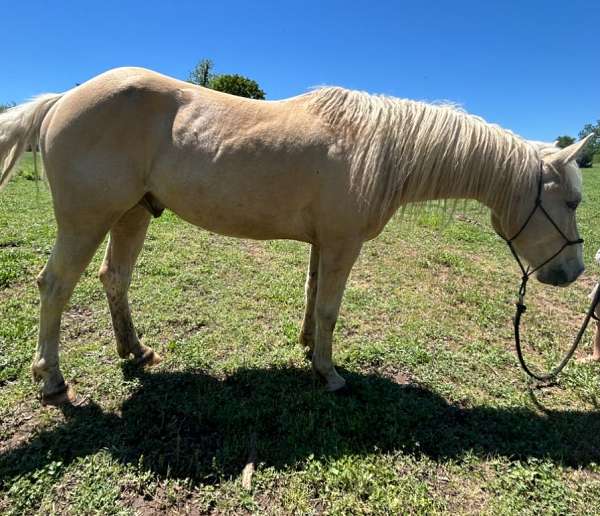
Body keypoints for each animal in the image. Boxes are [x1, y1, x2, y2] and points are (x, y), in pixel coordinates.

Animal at [0, 66, 592, 404]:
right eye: (572, 201)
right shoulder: (343, 245)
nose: (573, 273)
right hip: (87, 221)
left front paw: (308, 349)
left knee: (114, 278)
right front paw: (329, 374)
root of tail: (63, 99)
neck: (378, 149)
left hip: (133, 215)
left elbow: (312, 299)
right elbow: (330, 307)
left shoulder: (322, 244)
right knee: (55, 287)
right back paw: (51, 378)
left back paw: (135, 351)